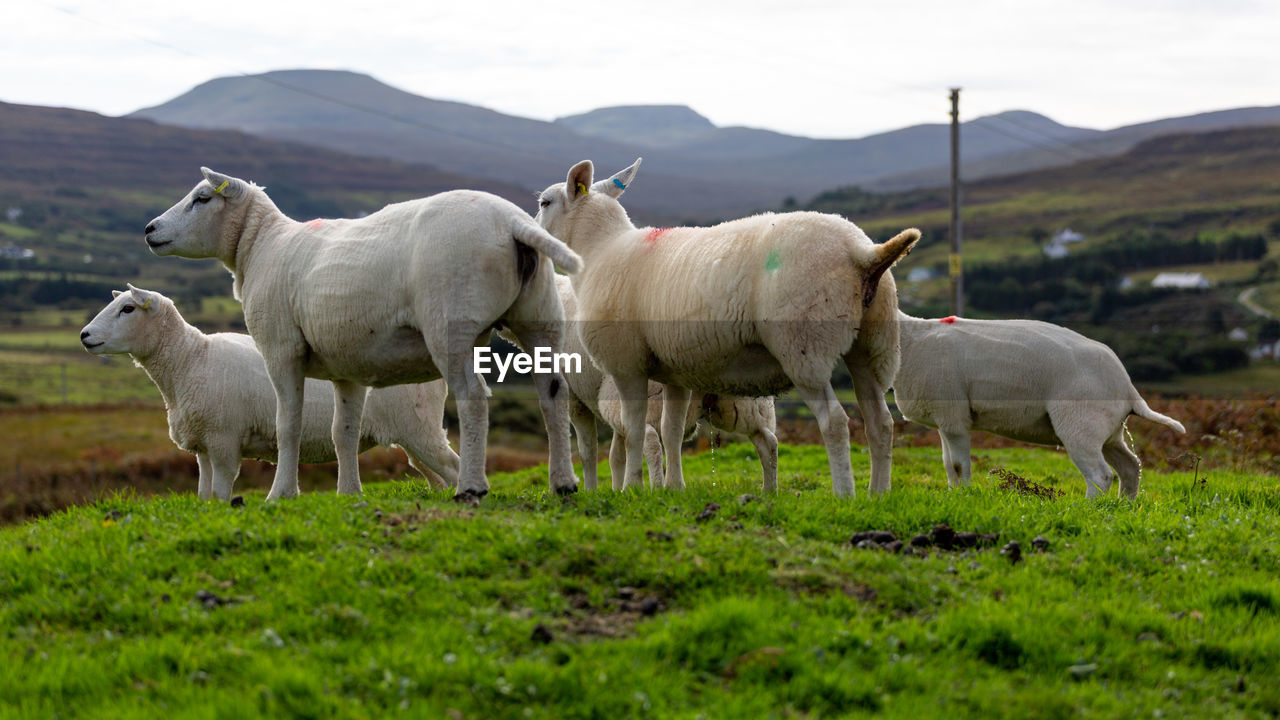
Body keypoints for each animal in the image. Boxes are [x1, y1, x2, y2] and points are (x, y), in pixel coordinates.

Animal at [78, 283, 460, 497]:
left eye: (128, 308)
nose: (84, 335)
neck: (190, 361)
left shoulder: (224, 440)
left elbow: (221, 492)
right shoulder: (203, 446)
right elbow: (204, 496)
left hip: (419, 429)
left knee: (453, 467)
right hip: (412, 437)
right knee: (436, 477)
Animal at [144, 167, 581, 499]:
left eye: (203, 198)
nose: (150, 229)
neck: (259, 247)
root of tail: (512, 221)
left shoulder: (281, 348)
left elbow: (289, 424)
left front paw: (281, 494)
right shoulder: (345, 366)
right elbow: (344, 433)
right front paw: (349, 493)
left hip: (451, 323)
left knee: (473, 397)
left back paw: (472, 487)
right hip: (538, 313)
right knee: (552, 392)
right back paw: (562, 484)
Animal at [535, 157, 916, 497]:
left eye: (545, 202)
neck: (599, 253)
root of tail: (862, 252)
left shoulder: (627, 365)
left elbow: (634, 431)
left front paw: (631, 489)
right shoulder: (673, 373)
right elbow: (670, 431)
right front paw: (674, 488)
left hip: (806, 346)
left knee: (835, 422)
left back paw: (845, 494)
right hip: (872, 345)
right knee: (880, 422)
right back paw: (878, 494)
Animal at [896, 311, 1182, 497]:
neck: (909, 340)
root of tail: (1128, 387)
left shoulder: (953, 416)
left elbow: (958, 466)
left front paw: (964, 498)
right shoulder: (943, 420)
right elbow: (948, 465)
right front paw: (953, 496)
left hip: (1081, 425)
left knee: (1101, 475)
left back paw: (1085, 510)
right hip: (1109, 431)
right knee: (1130, 467)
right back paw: (1125, 507)